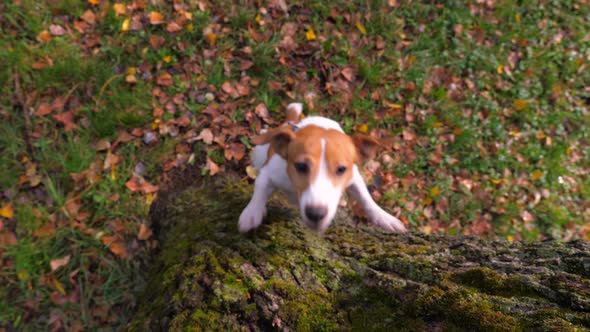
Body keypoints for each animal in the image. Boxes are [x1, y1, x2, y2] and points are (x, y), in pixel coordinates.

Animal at [239, 103, 408, 233]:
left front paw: (385, 217)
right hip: (258, 154)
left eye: (341, 169)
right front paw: (252, 213)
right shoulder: (269, 172)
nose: (316, 214)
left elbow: (366, 199)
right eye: (301, 166)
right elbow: (260, 190)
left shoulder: (354, 177)